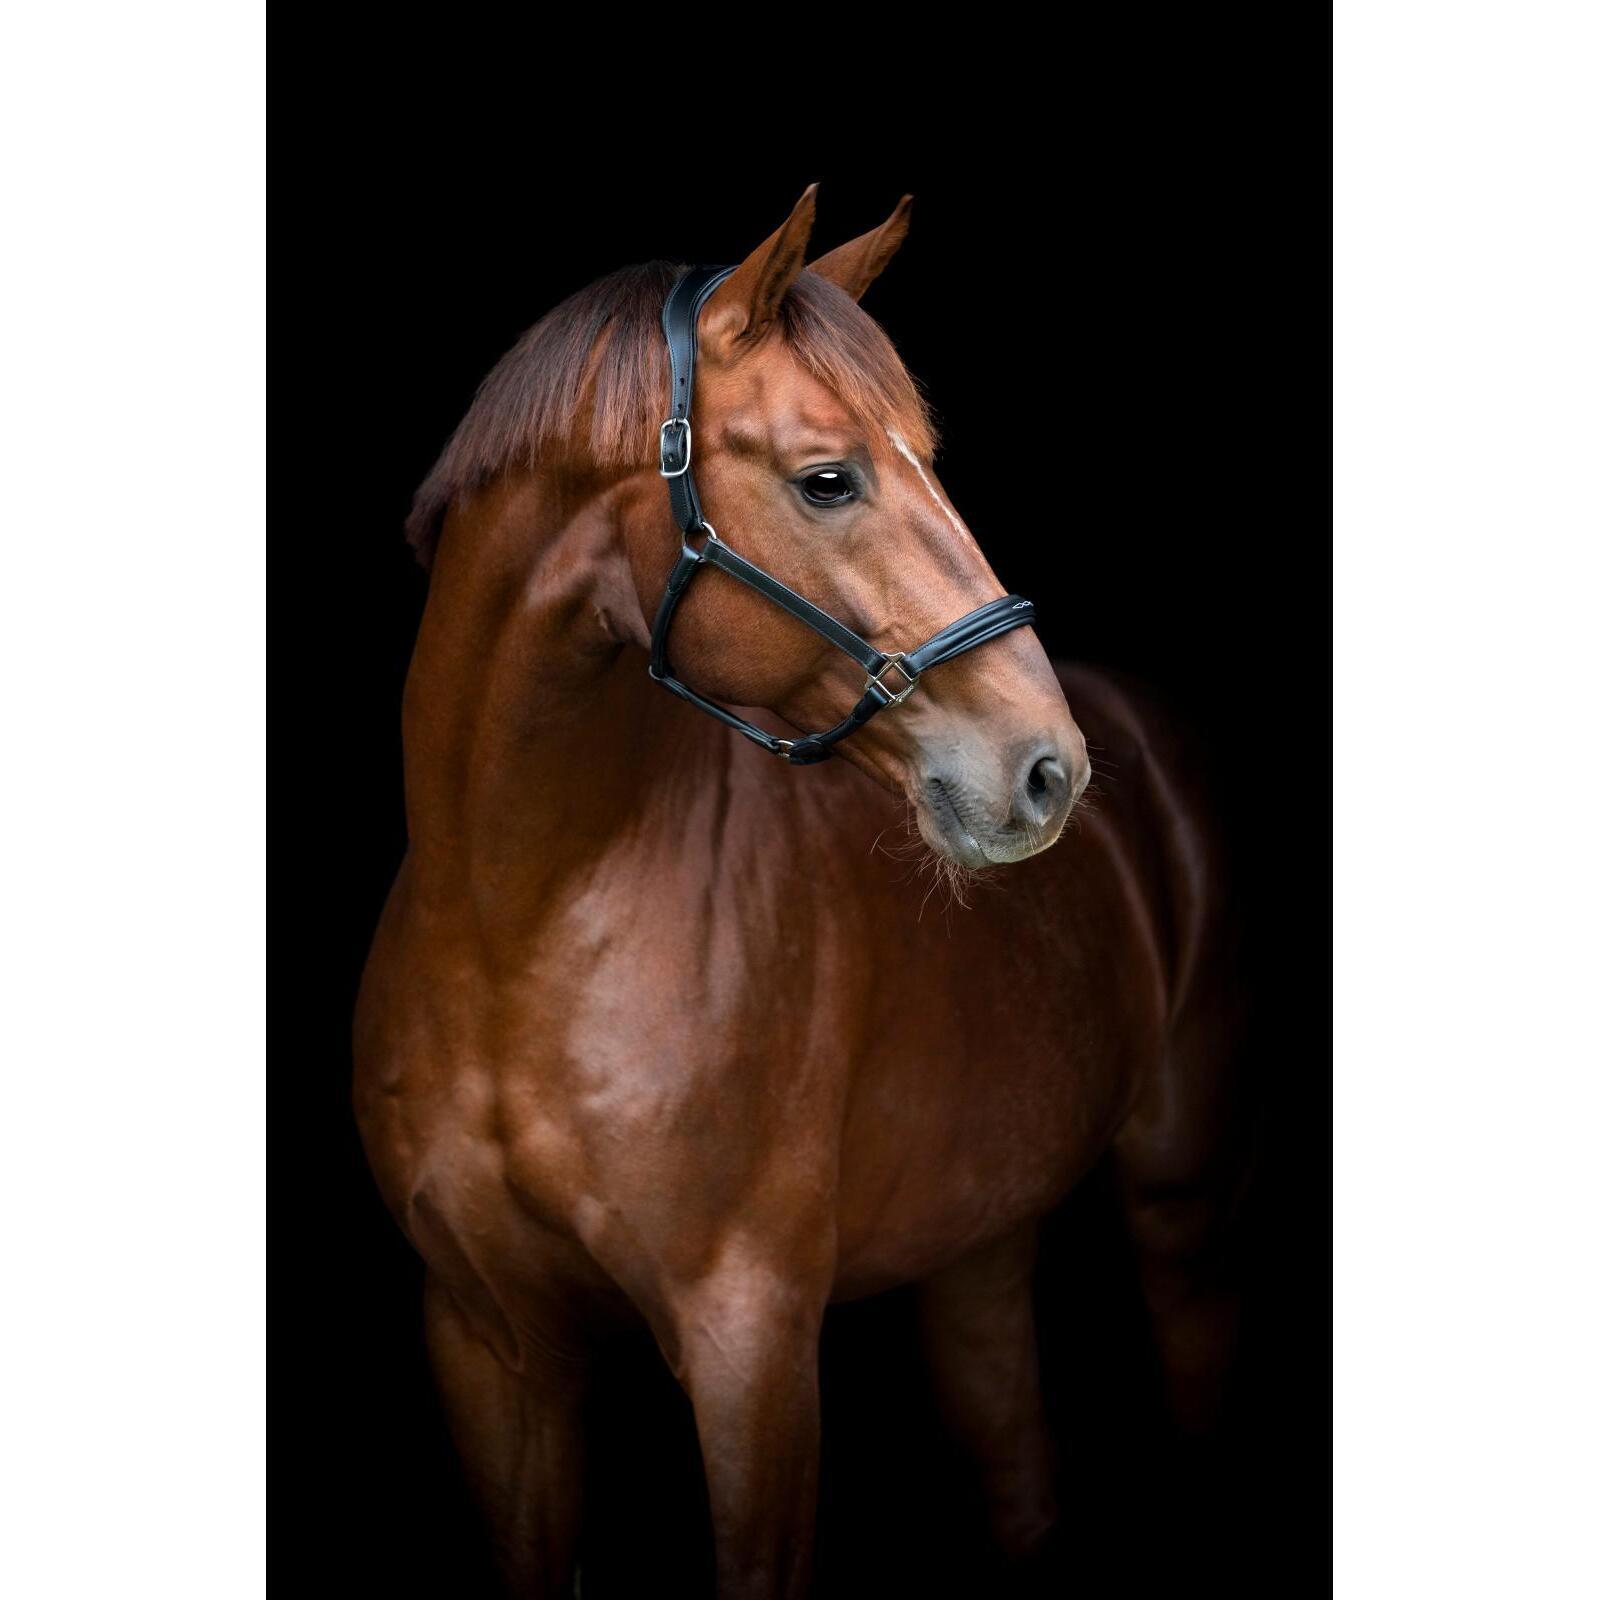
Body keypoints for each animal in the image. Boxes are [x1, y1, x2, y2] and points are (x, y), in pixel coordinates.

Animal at [354, 184, 1246, 1599]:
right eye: (829, 478)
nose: (1044, 769)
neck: (515, 926)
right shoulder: (489, 1344)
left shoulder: (752, 1347)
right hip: (978, 1235)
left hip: (1179, 1205)